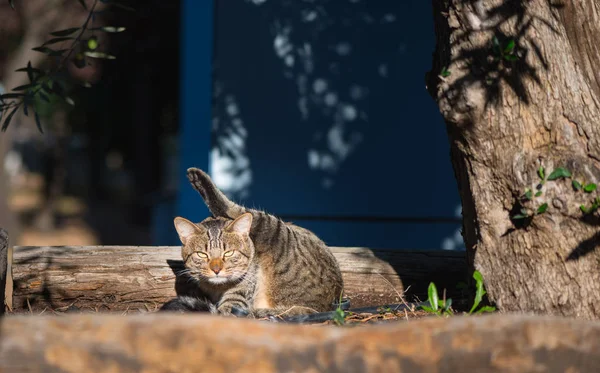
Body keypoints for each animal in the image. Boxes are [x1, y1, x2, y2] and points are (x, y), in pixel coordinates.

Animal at [162, 167, 344, 318]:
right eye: (201, 254)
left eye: (229, 253)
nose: (216, 269)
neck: (217, 288)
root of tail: (329, 303)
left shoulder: (241, 293)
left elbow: (228, 308)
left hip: (272, 227)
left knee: (234, 208)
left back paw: (198, 178)